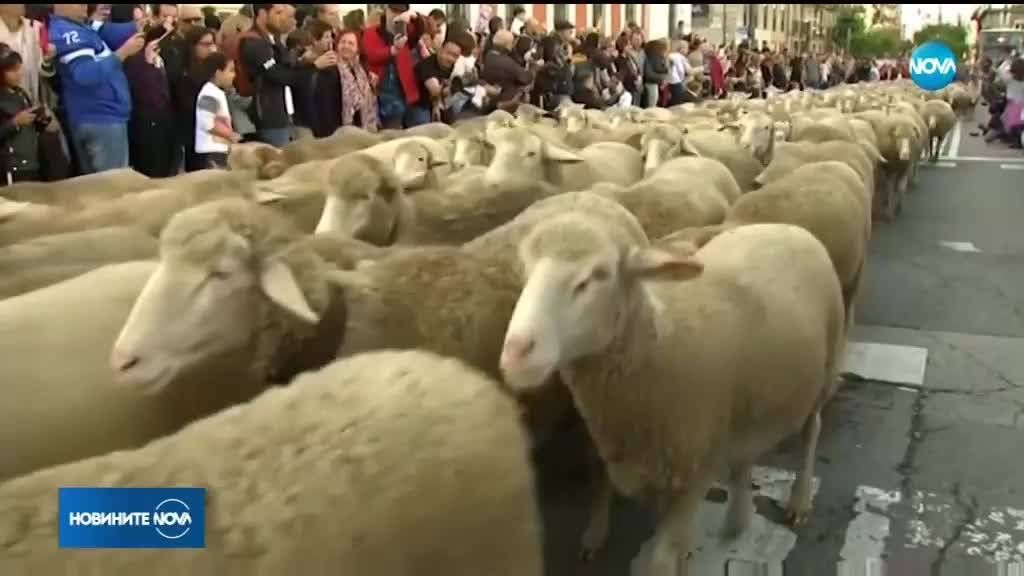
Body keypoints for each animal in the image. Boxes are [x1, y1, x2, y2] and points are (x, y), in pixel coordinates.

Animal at [499, 215, 843, 569]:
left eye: (596, 276)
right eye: (525, 272)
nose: (516, 352)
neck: (661, 347)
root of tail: (789, 227)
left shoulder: (698, 470)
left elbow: (662, 559)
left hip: (826, 365)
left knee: (811, 430)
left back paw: (799, 500)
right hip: (745, 403)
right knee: (746, 454)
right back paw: (738, 519)